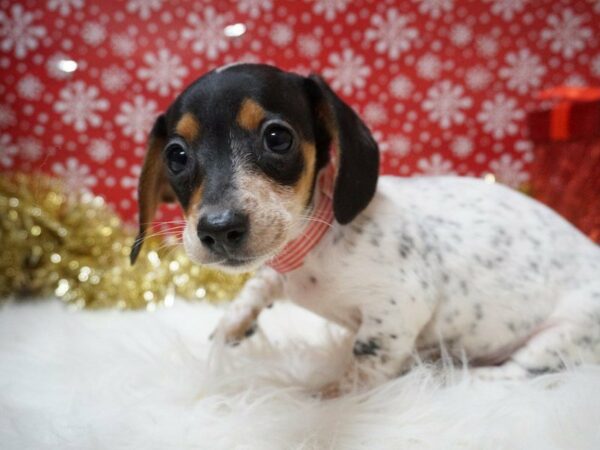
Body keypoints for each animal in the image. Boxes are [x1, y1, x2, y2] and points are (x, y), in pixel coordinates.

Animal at [131, 63, 600, 394]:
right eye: (176, 155)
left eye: (277, 138)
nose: (218, 229)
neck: (313, 245)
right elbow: (260, 283)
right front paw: (234, 321)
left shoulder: (399, 306)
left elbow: (366, 360)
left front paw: (324, 396)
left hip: (563, 336)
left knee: (517, 371)